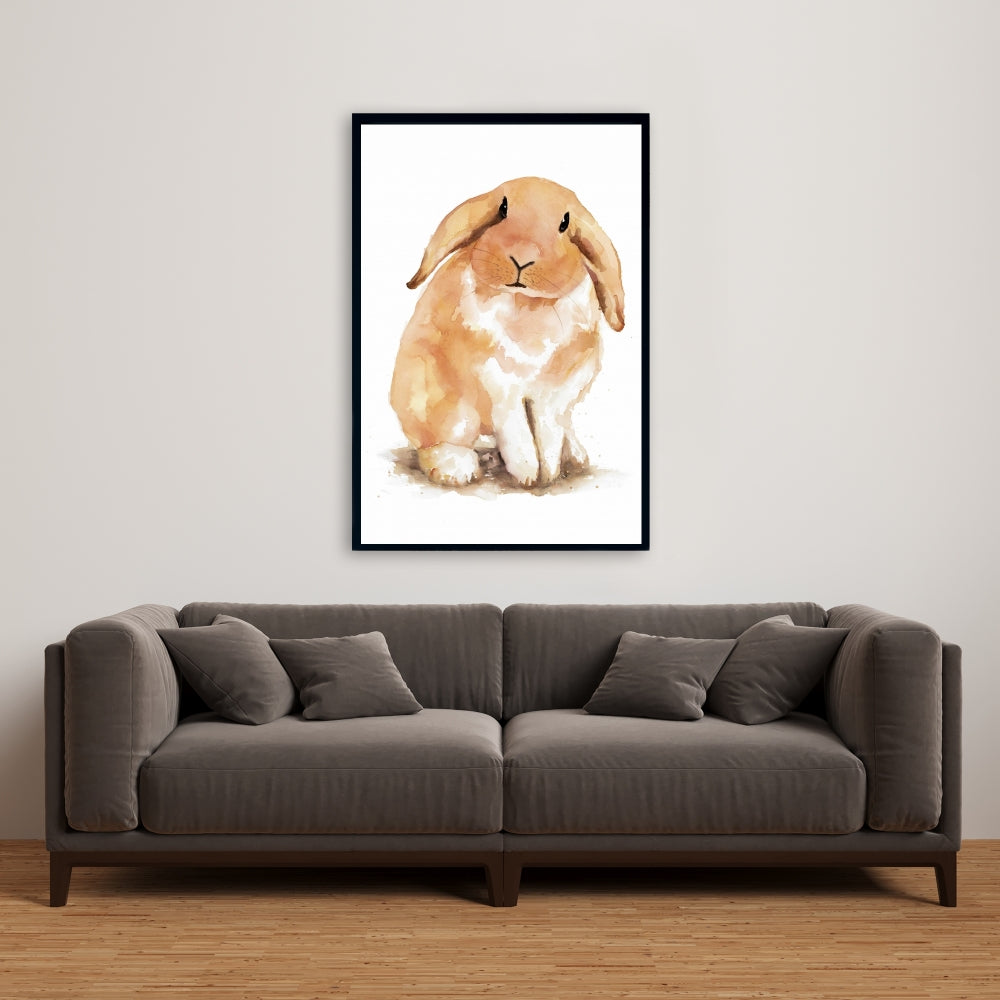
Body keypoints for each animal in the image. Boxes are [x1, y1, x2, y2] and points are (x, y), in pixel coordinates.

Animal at [389, 176, 625, 489]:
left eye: (564, 223)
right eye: (503, 209)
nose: (522, 259)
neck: (527, 303)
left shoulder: (558, 392)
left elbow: (547, 433)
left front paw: (548, 474)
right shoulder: (499, 384)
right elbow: (518, 432)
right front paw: (528, 475)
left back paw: (574, 455)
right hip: (439, 401)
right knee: (440, 439)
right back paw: (457, 469)